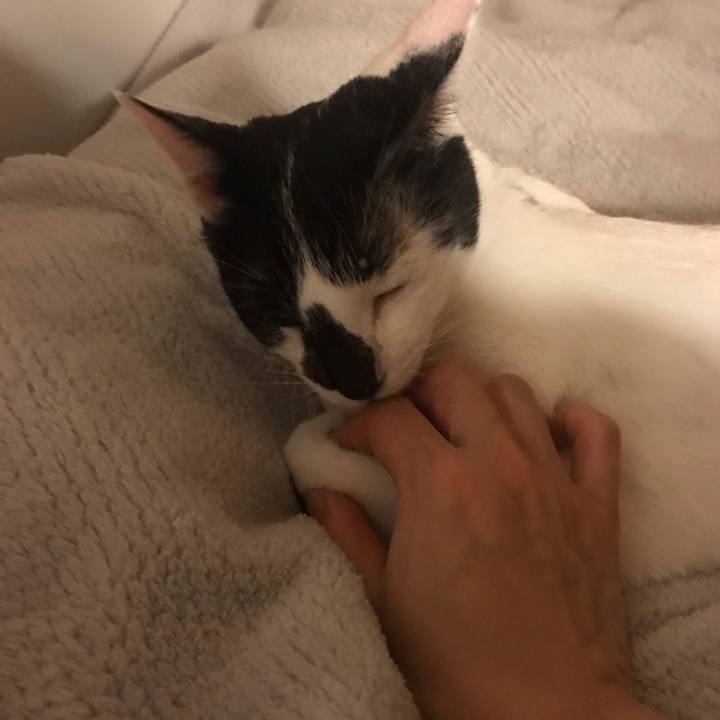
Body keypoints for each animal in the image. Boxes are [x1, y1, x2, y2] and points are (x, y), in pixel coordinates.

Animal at [118, 0, 720, 583]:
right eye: (273, 308)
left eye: (391, 289)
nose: (354, 378)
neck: (469, 276)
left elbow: (305, 448)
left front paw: (329, 433)